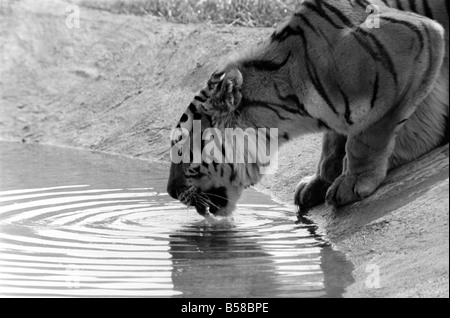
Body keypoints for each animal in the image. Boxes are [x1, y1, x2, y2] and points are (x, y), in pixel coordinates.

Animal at [167, 0, 448, 216]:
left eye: (182, 151)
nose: (170, 192)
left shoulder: (417, 35)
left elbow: (368, 135)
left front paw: (353, 181)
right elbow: (333, 143)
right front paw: (319, 181)